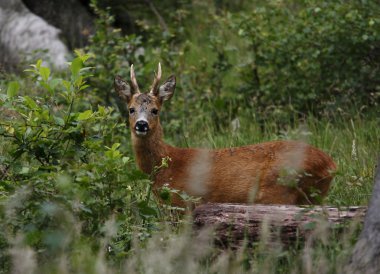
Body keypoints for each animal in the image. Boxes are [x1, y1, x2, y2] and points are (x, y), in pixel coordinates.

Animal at [114, 63, 336, 207]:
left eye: (155, 110)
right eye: (131, 109)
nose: (141, 125)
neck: (166, 164)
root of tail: (331, 165)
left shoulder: (182, 203)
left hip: (279, 190)